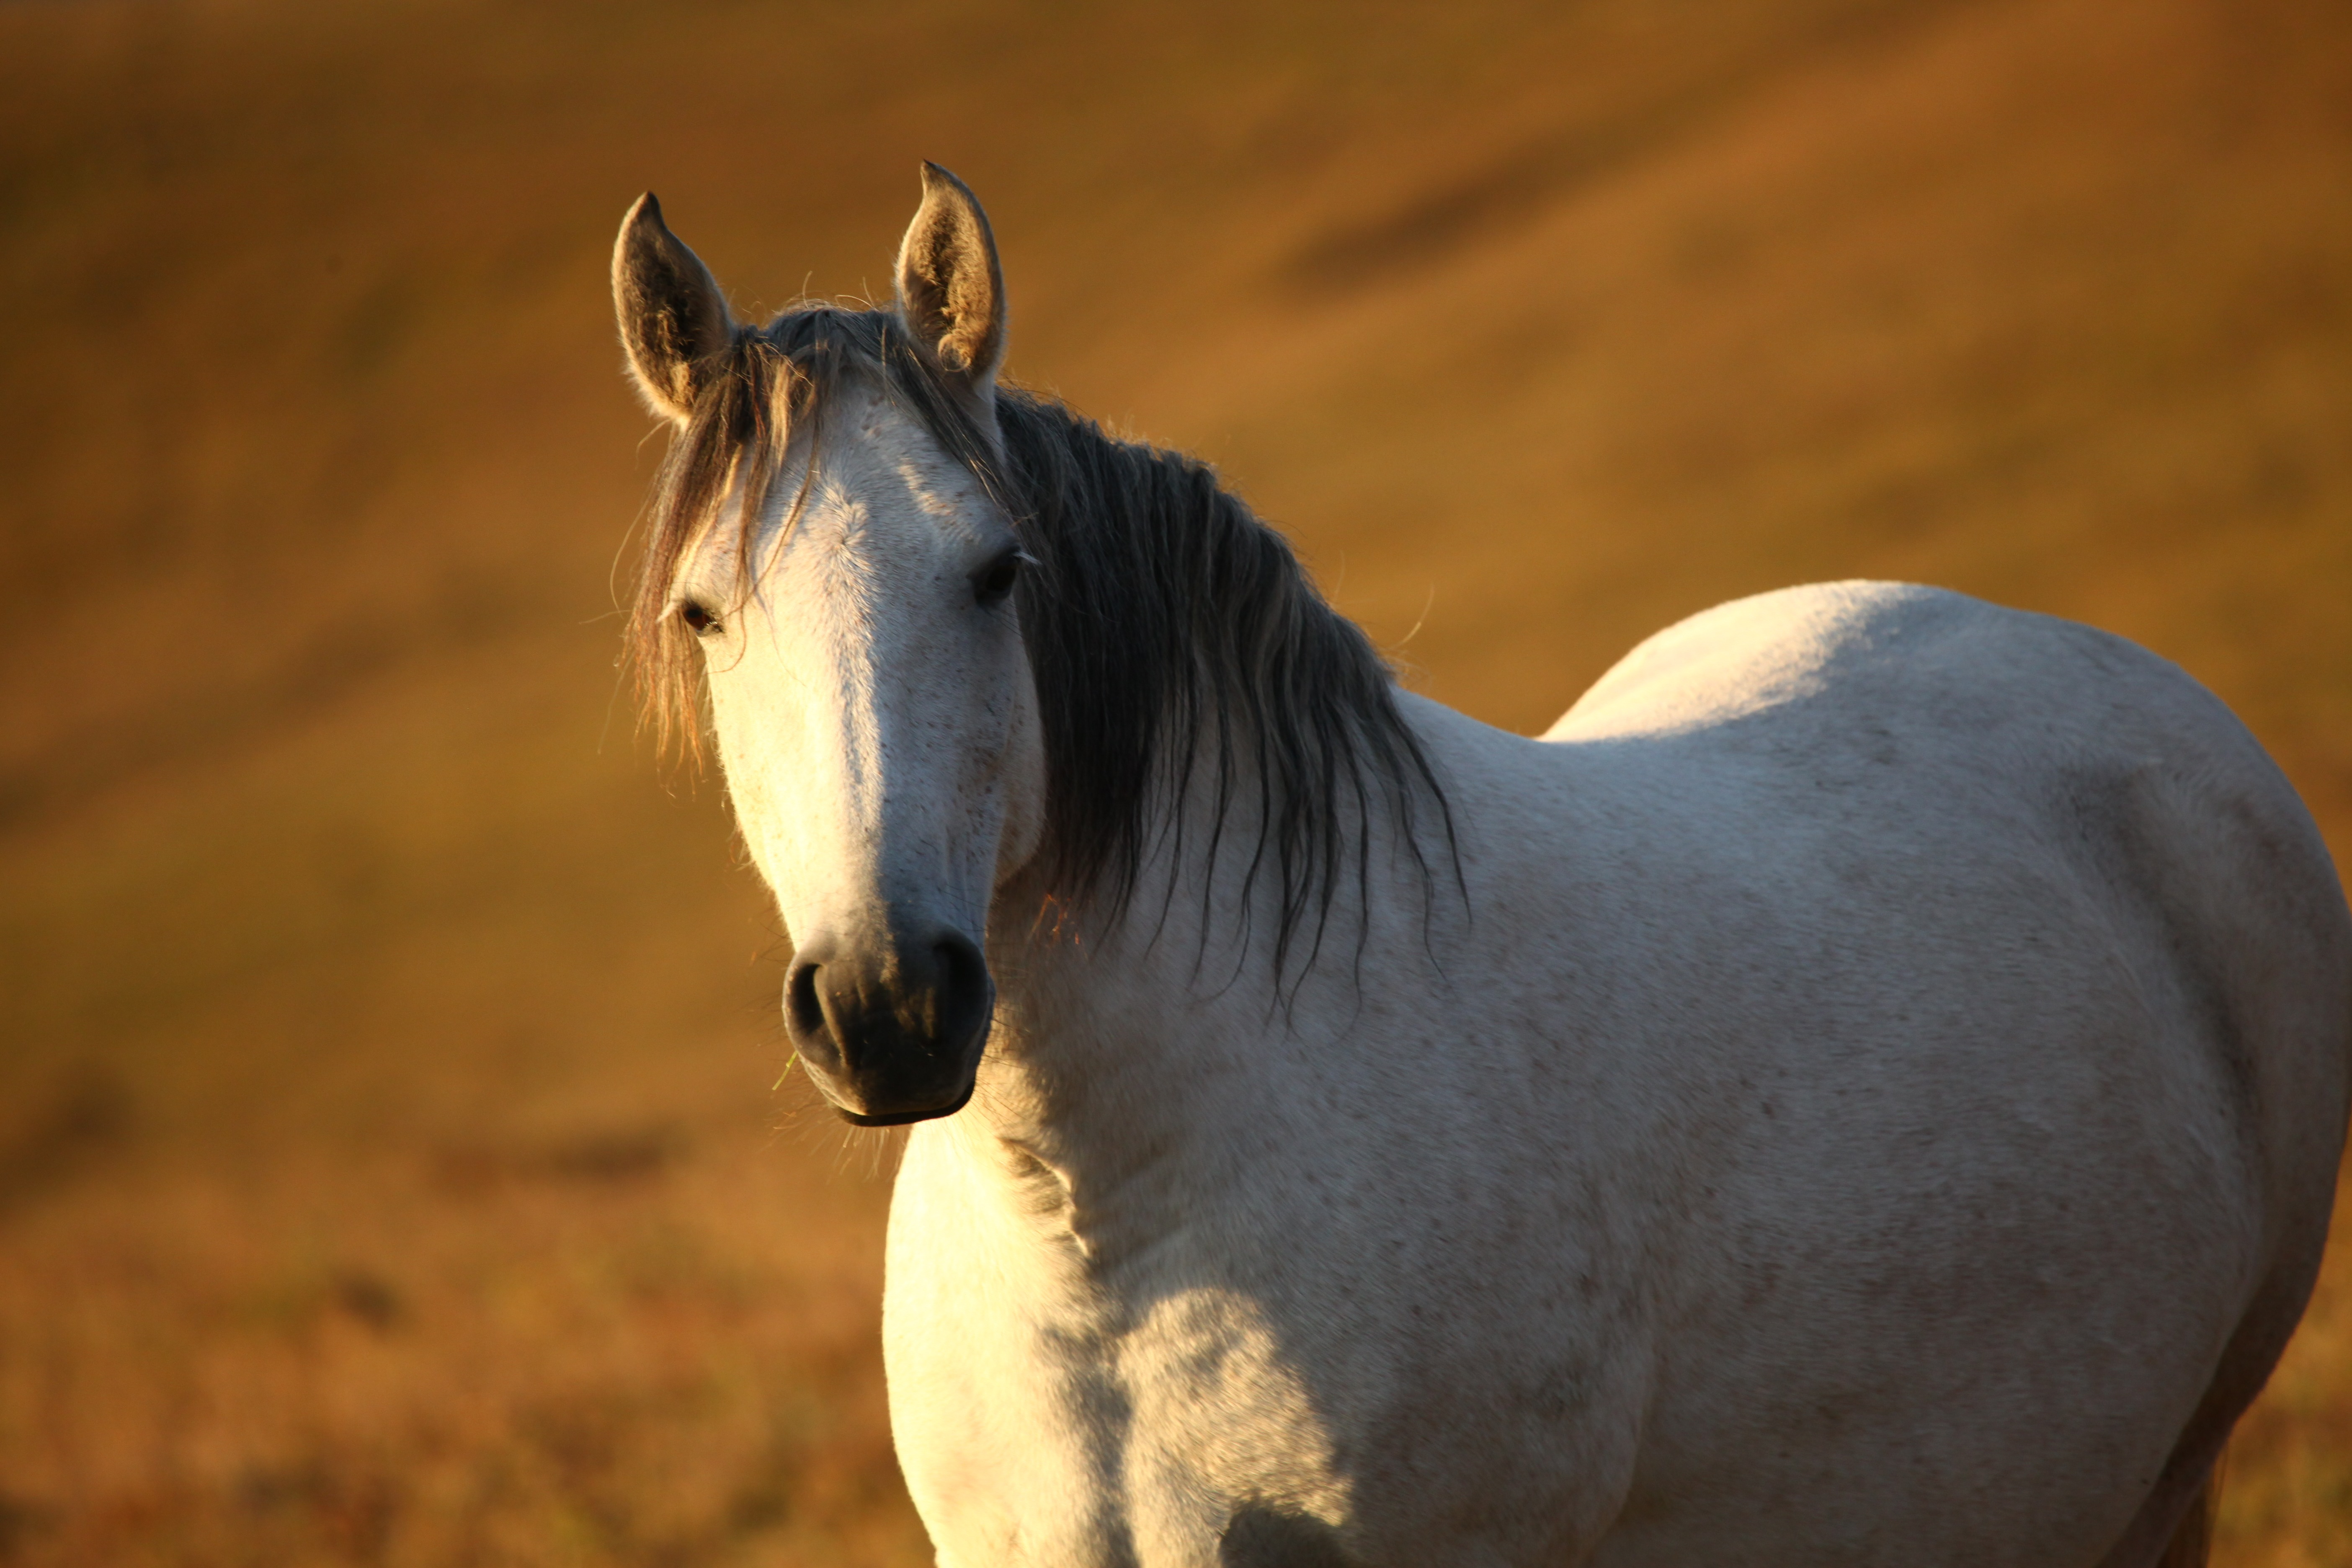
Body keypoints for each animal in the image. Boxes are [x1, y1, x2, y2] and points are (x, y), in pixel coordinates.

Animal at [607, 165, 2352, 1568]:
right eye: (704, 614)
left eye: (996, 570)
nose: (888, 1008)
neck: (1110, 1235)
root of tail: (2124, 675)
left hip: (2167, 1483)